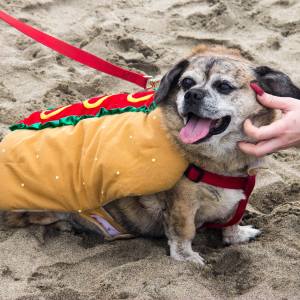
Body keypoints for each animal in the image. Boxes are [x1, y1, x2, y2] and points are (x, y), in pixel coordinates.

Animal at [2, 44, 300, 264]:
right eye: (186, 82)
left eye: (224, 86)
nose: (192, 94)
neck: (221, 160)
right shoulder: (182, 203)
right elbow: (183, 231)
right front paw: (187, 258)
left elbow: (232, 220)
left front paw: (237, 236)